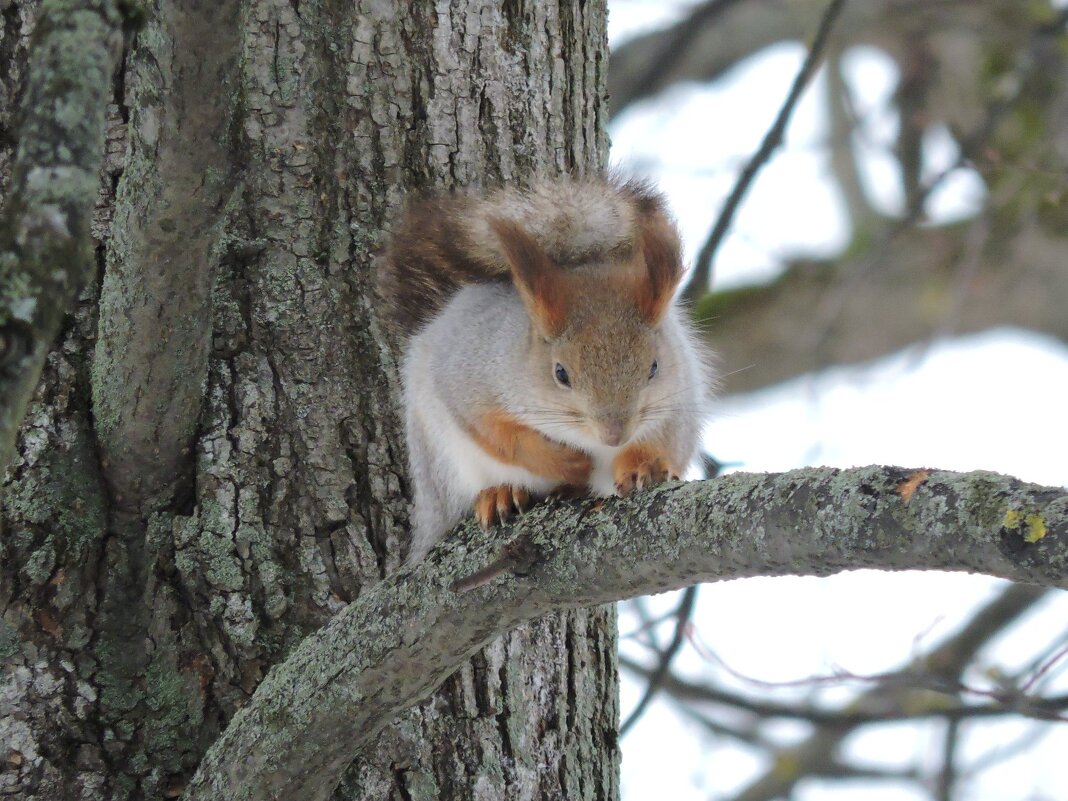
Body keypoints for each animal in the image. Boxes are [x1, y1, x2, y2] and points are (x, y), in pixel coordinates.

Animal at [380, 175, 713, 563]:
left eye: (654, 368)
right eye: (560, 373)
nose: (614, 435)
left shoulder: (678, 398)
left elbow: (663, 440)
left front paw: (642, 466)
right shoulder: (466, 379)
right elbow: (498, 435)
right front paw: (566, 463)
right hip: (441, 467)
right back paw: (502, 493)